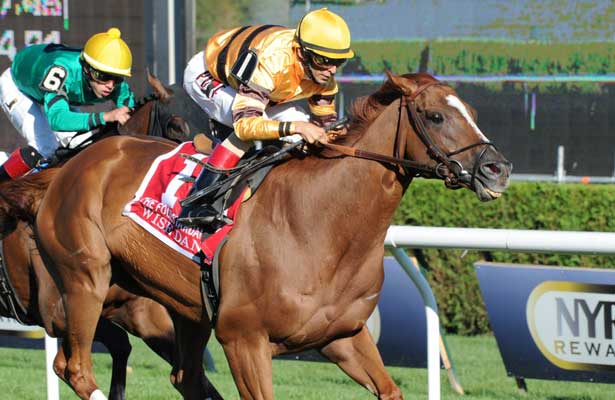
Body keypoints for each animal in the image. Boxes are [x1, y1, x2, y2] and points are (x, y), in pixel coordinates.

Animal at [31, 71, 510, 396]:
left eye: (473, 113)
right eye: (435, 115)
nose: (498, 169)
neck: (320, 224)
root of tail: (75, 164)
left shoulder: (343, 336)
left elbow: (389, 388)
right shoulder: (244, 340)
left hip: (184, 308)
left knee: (184, 376)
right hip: (85, 282)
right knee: (74, 367)